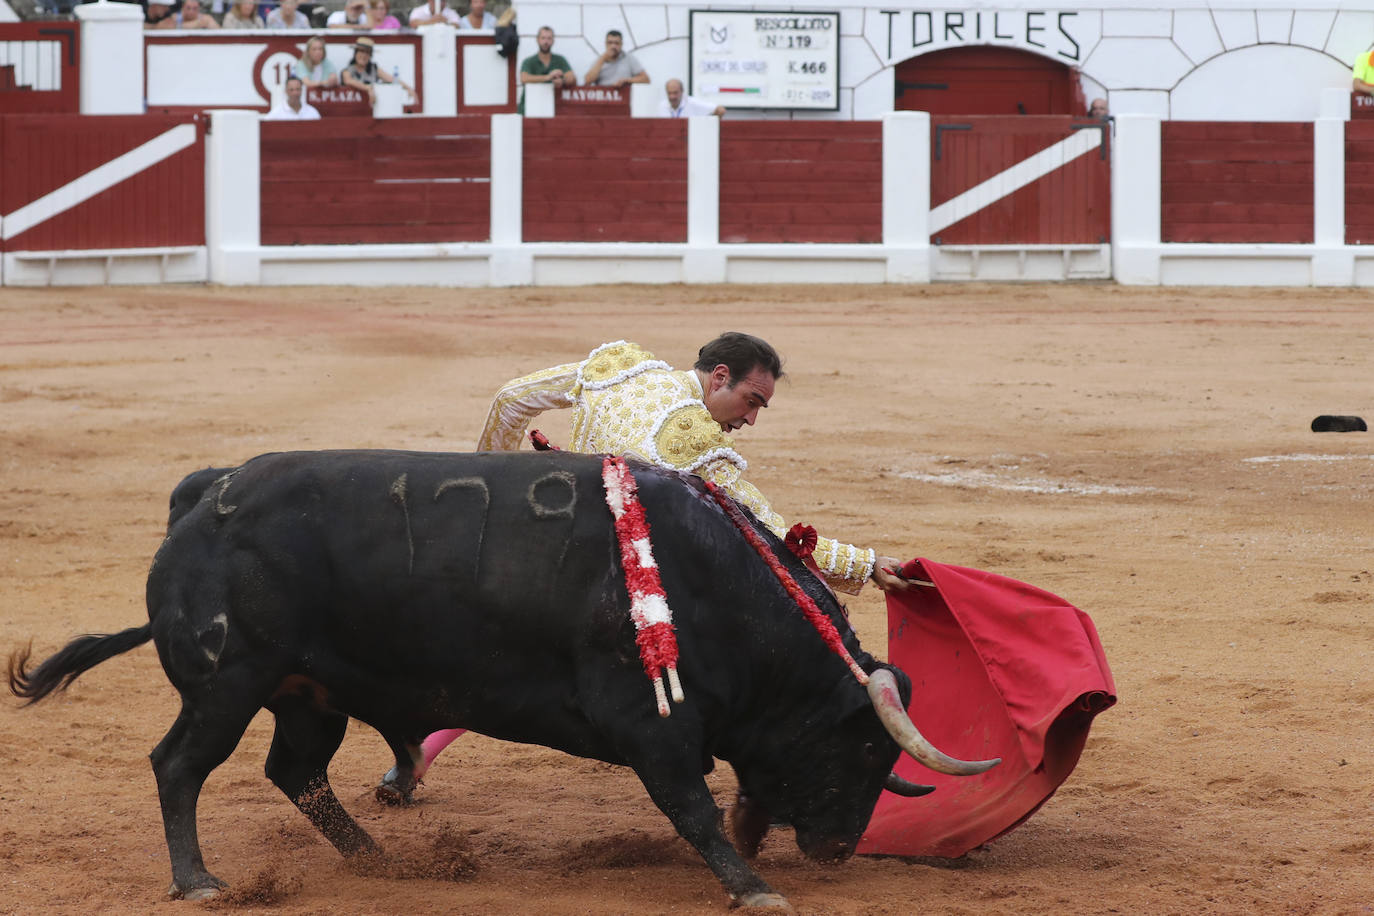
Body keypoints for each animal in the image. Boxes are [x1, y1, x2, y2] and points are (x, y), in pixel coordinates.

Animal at [10, 450, 1000, 911]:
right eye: (864, 750)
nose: (836, 848)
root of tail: (205, 493)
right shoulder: (652, 725)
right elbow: (694, 806)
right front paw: (752, 885)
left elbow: (718, 801)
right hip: (228, 684)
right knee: (180, 765)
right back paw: (199, 880)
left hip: (306, 693)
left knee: (295, 770)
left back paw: (381, 862)